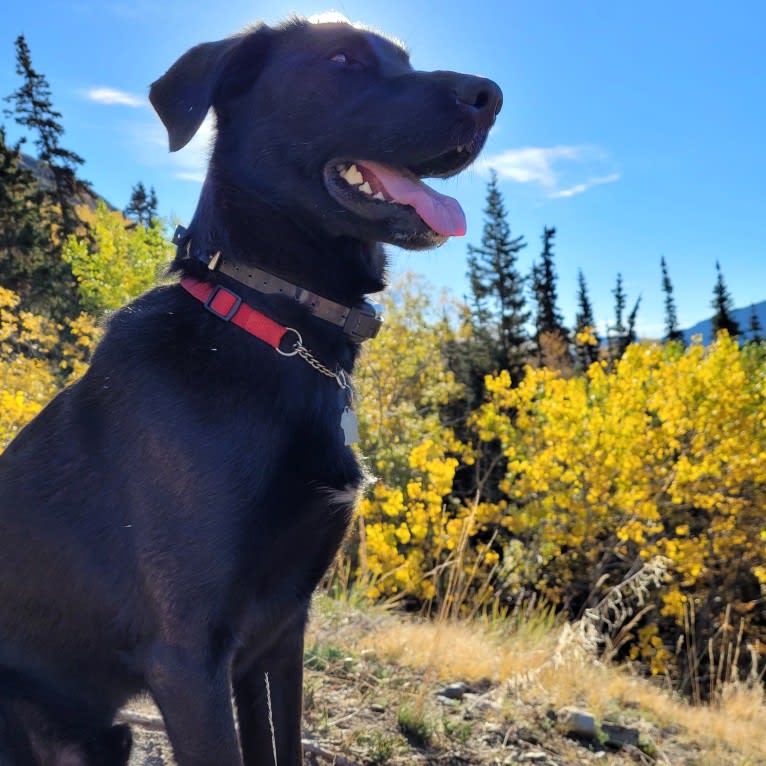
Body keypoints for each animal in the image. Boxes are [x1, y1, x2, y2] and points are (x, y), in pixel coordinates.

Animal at [0, 12, 504, 766]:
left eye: (405, 58)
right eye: (342, 59)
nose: (489, 96)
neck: (273, 323)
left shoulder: (280, 633)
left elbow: (281, 742)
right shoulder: (188, 657)